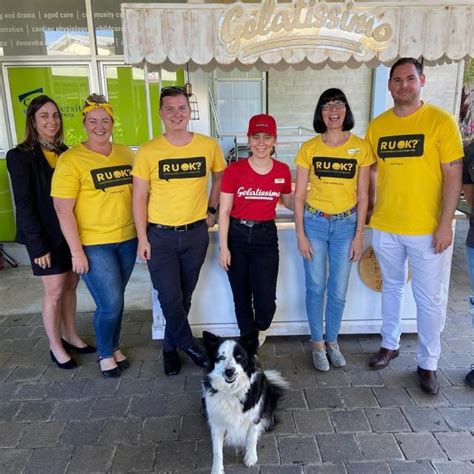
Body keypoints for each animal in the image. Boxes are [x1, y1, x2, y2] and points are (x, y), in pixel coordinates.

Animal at [201, 330, 286, 474]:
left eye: (239, 356)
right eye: (221, 357)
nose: (229, 371)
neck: (231, 391)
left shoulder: (255, 415)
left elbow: (251, 437)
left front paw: (250, 457)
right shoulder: (216, 422)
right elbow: (217, 450)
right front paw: (217, 469)